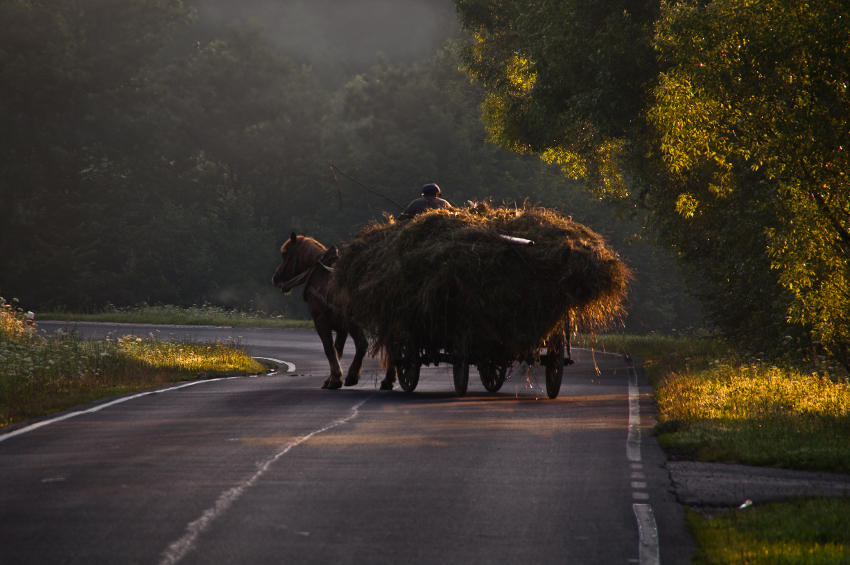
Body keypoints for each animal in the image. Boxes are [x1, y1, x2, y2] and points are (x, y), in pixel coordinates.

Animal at [268, 232, 368, 388]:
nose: (275, 278)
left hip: (353, 321)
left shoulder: (321, 322)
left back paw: (353, 376)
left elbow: (329, 349)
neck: (320, 273)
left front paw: (335, 378)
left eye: (284, 254)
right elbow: (337, 349)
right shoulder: (341, 327)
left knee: (362, 344)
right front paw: (331, 378)